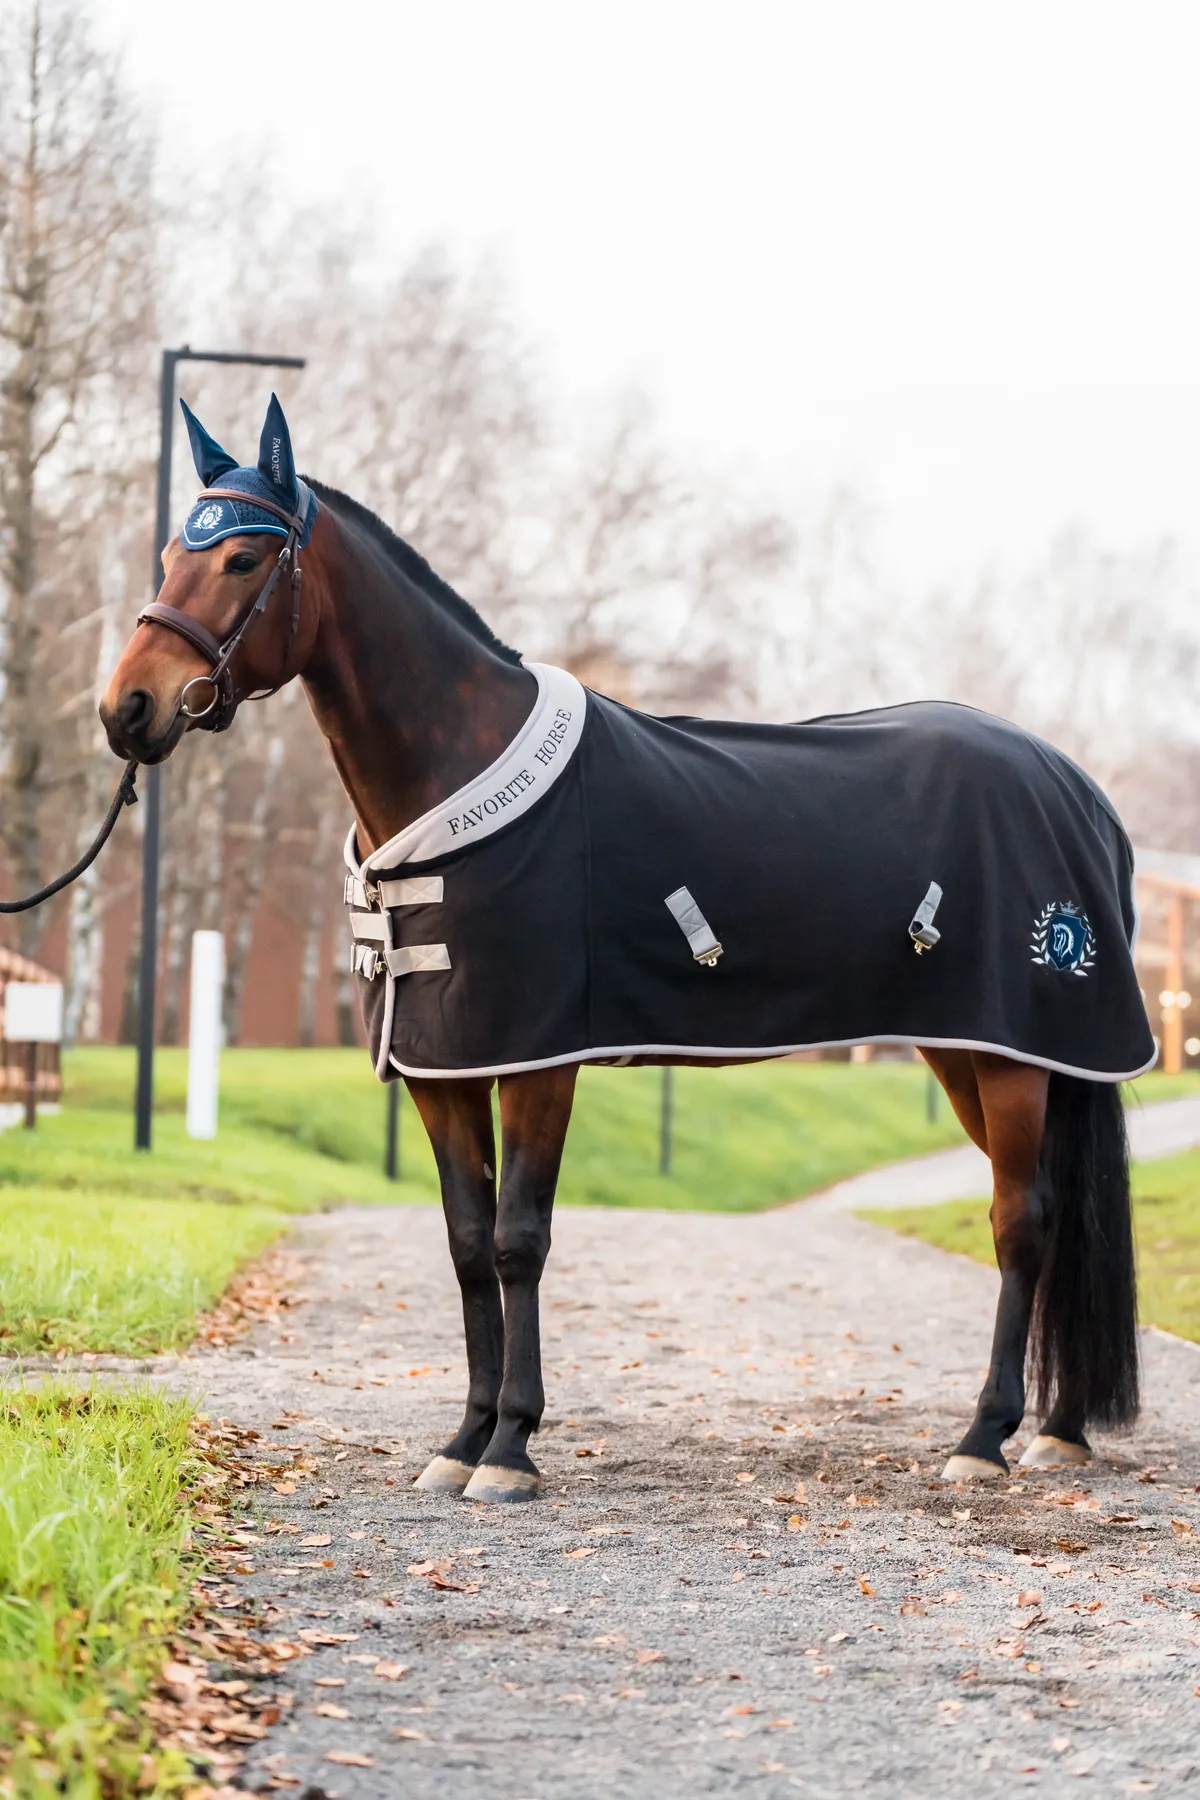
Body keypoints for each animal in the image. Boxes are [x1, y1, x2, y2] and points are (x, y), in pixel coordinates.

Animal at [100, 396, 1151, 1503]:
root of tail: (1078, 789)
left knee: (1023, 1221)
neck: (455, 777)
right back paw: (1057, 1430)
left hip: (1013, 1058)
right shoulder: (442, 1071)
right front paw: (462, 1439)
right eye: (171, 552)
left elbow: (520, 1239)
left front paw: (511, 1448)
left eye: (244, 558)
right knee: (1051, 1219)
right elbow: (467, 1244)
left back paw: (985, 1436)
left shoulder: (539, 1060)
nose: (128, 708)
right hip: (969, 1052)